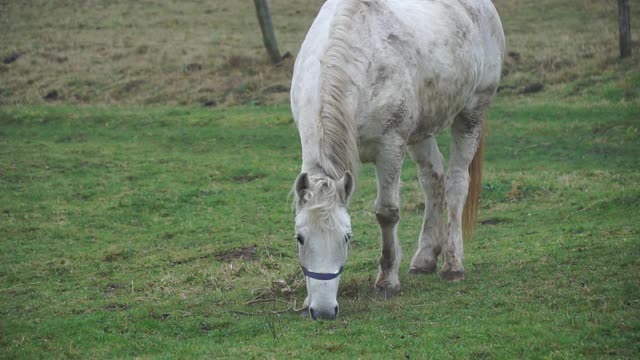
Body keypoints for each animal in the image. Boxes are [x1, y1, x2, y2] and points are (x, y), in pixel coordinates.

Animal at [290, 0, 504, 320]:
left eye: (347, 237)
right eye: (300, 238)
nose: (324, 310)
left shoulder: (390, 148)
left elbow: (387, 212)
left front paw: (388, 281)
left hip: (471, 114)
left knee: (456, 184)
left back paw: (453, 264)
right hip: (421, 132)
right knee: (433, 178)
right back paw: (425, 258)